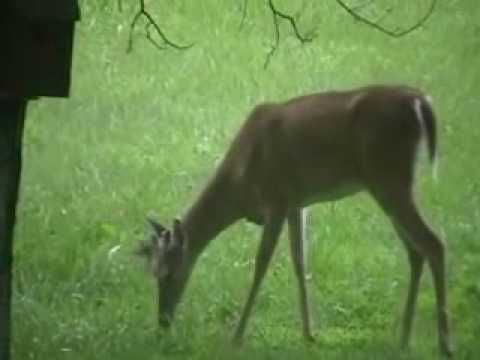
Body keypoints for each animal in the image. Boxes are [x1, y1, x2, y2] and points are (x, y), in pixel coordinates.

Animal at [137, 85, 452, 358]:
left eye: (167, 273)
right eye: (152, 272)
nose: (163, 321)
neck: (241, 183)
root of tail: (419, 100)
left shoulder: (276, 199)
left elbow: (261, 266)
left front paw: (237, 337)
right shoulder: (296, 205)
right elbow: (300, 262)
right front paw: (308, 334)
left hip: (388, 177)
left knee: (433, 243)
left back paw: (444, 344)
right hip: (391, 183)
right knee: (415, 251)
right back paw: (403, 340)